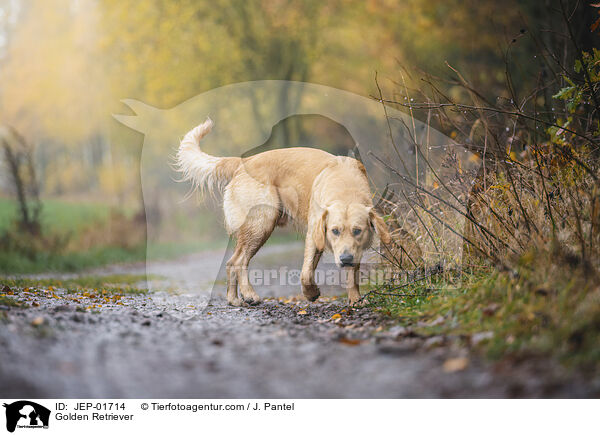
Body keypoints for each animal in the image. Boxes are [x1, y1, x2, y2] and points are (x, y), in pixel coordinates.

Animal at [176, 117, 392, 304]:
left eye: (357, 230)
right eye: (335, 231)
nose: (345, 259)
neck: (345, 189)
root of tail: (243, 161)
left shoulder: (352, 247)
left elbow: (350, 274)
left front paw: (355, 299)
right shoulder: (314, 234)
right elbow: (306, 272)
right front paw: (311, 293)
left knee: (230, 262)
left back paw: (233, 298)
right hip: (261, 223)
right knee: (239, 261)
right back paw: (249, 294)